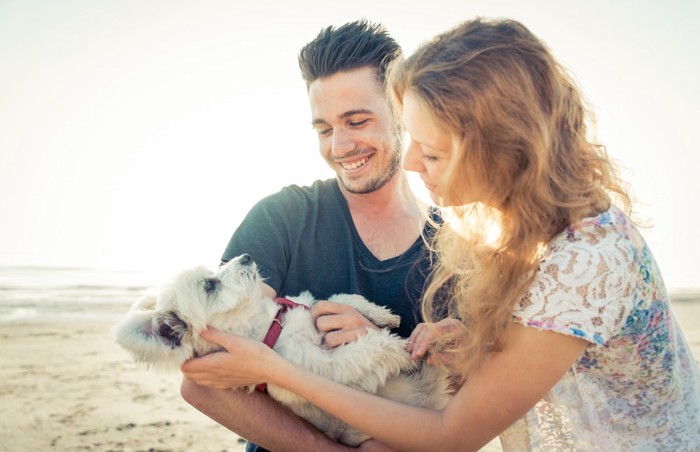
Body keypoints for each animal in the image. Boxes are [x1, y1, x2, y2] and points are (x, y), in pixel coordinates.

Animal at [112, 254, 446, 444]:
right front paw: (401, 346)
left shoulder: (313, 308)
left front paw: (381, 314)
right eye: (210, 285)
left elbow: (340, 298)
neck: (271, 323)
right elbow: (372, 348)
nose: (246, 256)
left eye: (216, 270)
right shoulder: (330, 371)